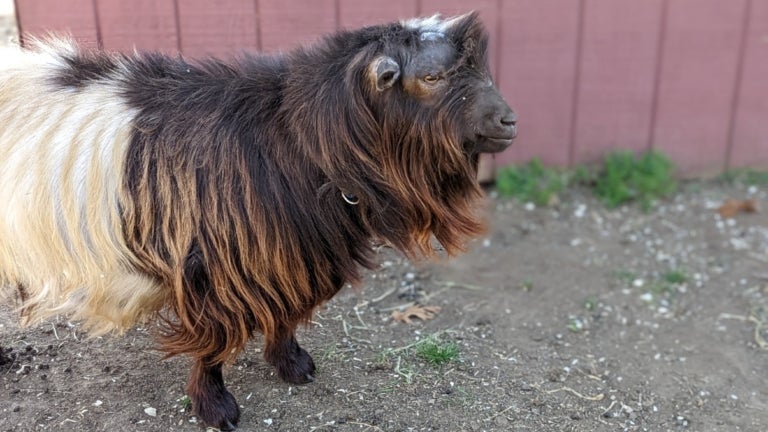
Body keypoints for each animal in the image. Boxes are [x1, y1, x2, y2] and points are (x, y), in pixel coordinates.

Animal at [1, 11, 516, 430]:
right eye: (432, 76)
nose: (509, 121)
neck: (290, 136)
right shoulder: (209, 272)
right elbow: (212, 345)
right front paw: (216, 409)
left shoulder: (289, 255)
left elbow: (284, 315)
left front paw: (292, 365)